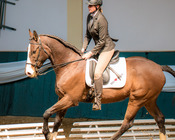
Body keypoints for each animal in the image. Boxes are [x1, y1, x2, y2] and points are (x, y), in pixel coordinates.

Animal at [25, 29, 174, 140]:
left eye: (34, 51)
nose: (28, 72)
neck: (69, 66)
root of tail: (158, 67)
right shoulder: (62, 98)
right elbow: (57, 122)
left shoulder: (70, 99)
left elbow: (46, 113)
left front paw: (45, 132)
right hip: (149, 100)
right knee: (160, 119)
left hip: (137, 99)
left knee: (127, 123)